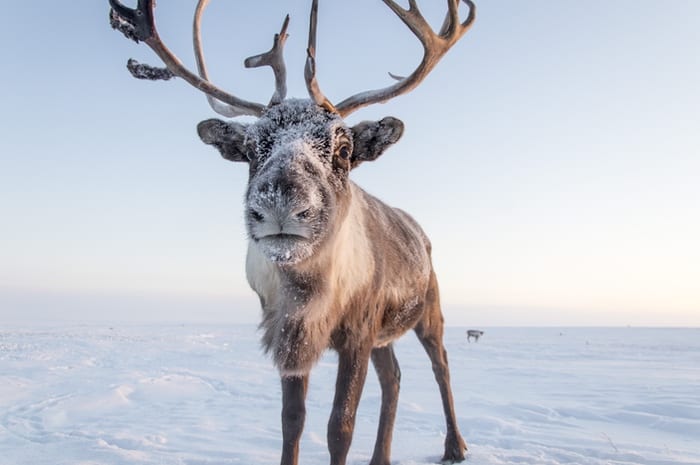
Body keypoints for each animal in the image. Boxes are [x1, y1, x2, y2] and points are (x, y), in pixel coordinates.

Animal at [107, 1, 476, 465]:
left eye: (344, 149)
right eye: (250, 149)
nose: (280, 204)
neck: (310, 294)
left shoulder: (358, 333)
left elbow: (340, 428)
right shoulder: (289, 332)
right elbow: (292, 421)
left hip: (429, 310)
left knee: (441, 364)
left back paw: (455, 446)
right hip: (384, 335)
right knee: (392, 378)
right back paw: (382, 456)